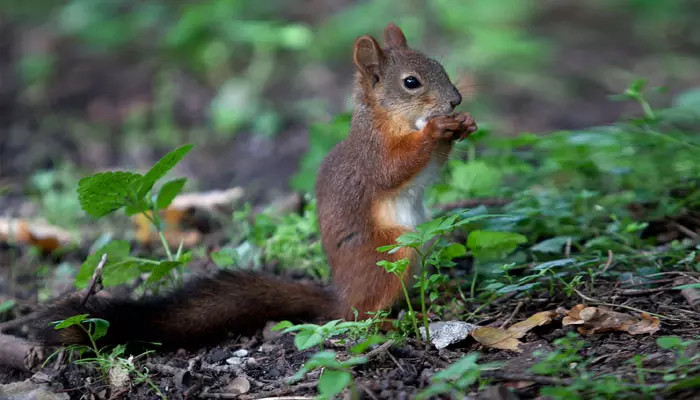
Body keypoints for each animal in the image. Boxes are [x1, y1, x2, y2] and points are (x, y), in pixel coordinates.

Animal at [28, 23, 476, 350]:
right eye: (411, 82)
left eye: (438, 64)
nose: (455, 100)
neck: (391, 120)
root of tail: (341, 294)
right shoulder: (374, 156)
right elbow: (396, 168)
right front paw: (436, 130)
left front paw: (462, 126)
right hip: (389, 252)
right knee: (360, 315)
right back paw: (394, 321)